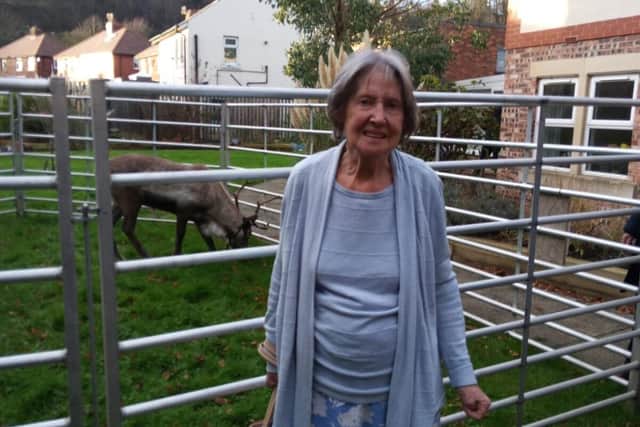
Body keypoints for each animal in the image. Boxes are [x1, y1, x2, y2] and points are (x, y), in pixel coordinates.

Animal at [109, 154, 271, 258]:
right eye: (247, 234)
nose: (247, 255)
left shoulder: (199, 218)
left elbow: (207, 239)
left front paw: (214, 254)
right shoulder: (182, 211)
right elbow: (180, 234)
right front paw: (176, 254)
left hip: (118, 203)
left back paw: (118, 257)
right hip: (131, 201)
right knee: (127, 228)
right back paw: (146, 256)